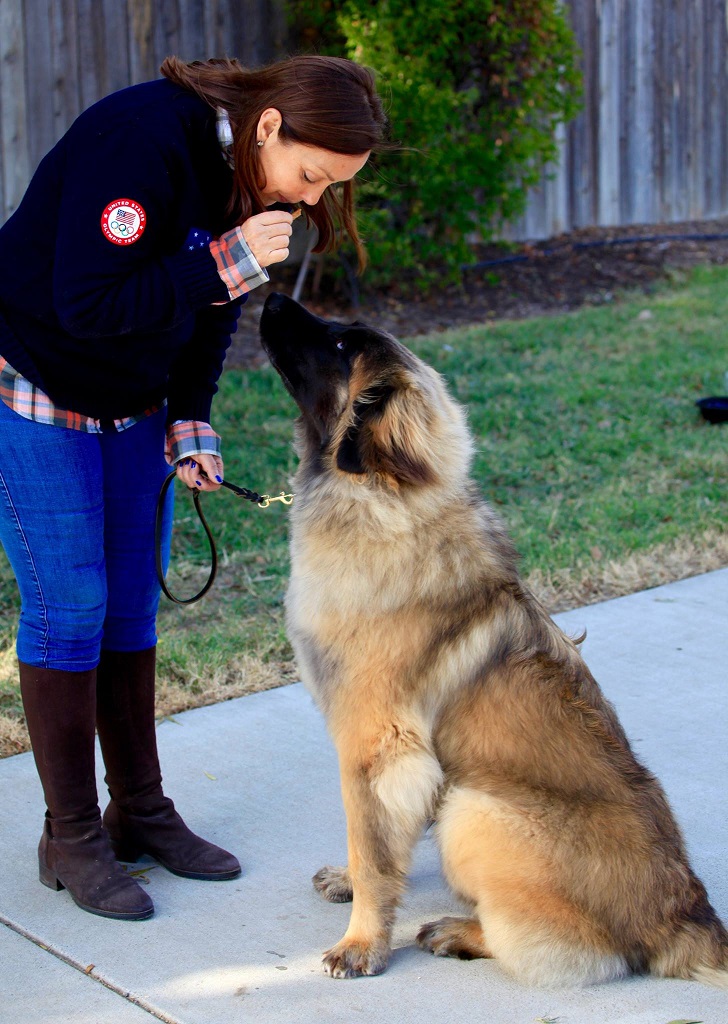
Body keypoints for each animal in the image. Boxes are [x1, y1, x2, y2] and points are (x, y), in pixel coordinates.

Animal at [259, 292, 724, 987]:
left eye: (341, 345)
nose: (269, 296)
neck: (378, 502)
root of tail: (684, 916)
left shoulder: (376, 742)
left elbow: (373, 848)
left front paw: (362, 944)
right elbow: (373, 841)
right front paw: (346, 882)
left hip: (474, 808)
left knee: (570, 947)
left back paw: (456, 931)